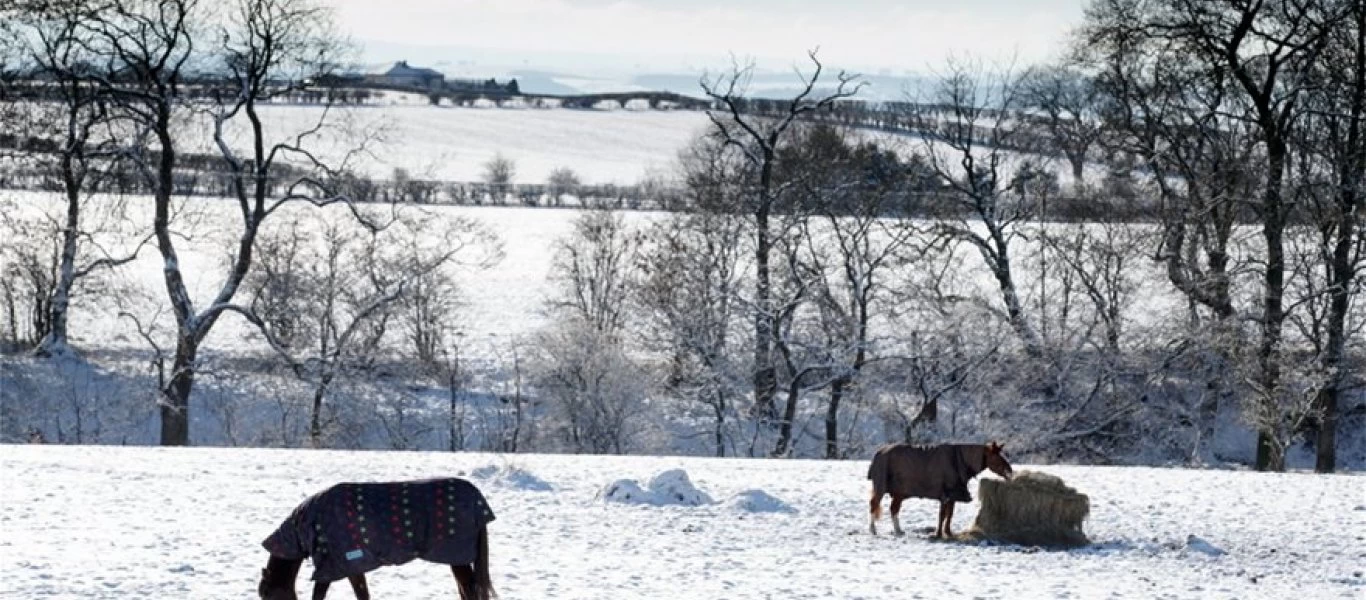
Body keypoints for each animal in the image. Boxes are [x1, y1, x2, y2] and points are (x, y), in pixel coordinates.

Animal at [258, 478, 494, 600]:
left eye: (268, 596)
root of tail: (478, 500)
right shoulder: (350, 565)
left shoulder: (335, 565)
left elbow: (321, 594)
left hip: (458, 558)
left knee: (469, 590)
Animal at [863, 442, 1016, 541]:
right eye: (997, 457)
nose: (1010, 472)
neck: (958, 460)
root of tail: (880, 452)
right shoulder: (945, 495)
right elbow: (942, 515)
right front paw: (938, 534)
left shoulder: (953, 495)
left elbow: (950, 514)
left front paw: (948, 533)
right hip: (881, 487)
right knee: (874, 505)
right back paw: (873, 530)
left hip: (900, 492)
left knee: (894, 509)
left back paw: (898, 531)